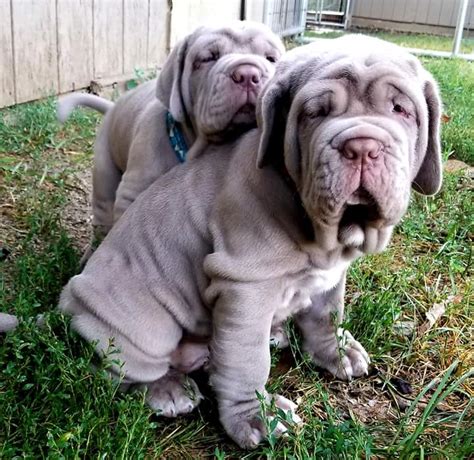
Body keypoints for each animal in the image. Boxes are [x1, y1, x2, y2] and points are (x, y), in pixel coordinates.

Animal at [57, 20, 284, 244]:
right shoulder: (132, 192)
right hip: (104, 169)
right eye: (207, 58)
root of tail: (113, 107)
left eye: (271, 59)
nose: (248, 74)